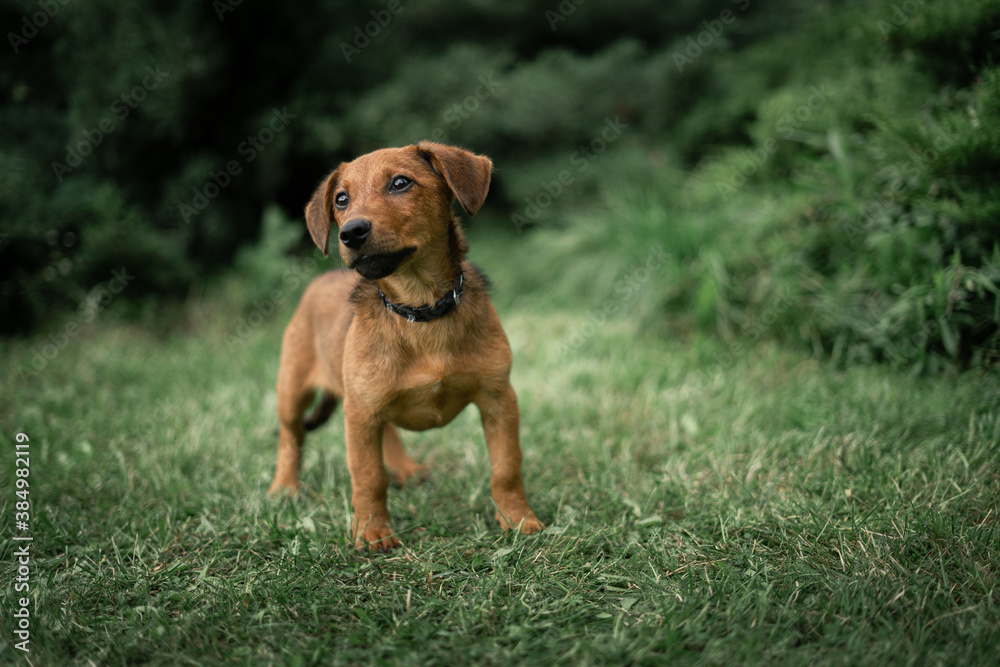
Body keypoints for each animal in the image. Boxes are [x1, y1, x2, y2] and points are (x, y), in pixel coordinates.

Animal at [270, 144, 544, 552]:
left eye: (400, 183)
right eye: (341, 200)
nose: (350, 233)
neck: (421, 310)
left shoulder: (499, 397)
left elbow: (507, 468)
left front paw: (518, 519)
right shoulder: (360, 413)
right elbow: (368, 476)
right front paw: (372, 533)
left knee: (387, 431)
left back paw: (404, 468)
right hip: (293, 390)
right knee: (291, 438)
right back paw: (284, 488)